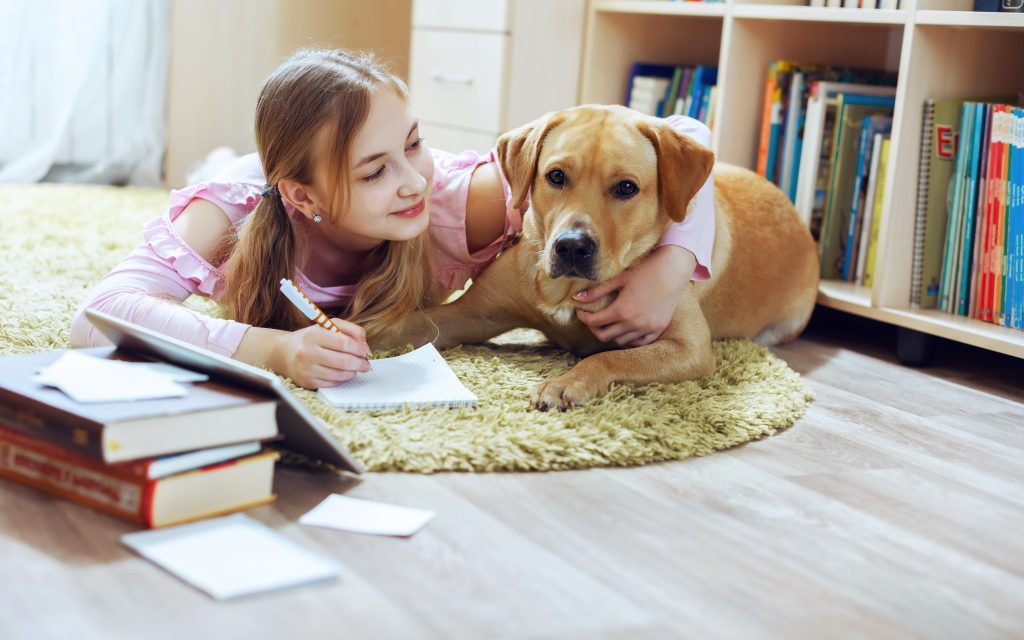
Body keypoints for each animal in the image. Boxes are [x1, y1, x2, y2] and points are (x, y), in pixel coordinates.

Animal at [372, 102, 819, 407]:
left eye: (626, 187)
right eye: (555, 176)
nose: (572, 245)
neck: (567, 289)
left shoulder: (688, 347)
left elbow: (614, 359)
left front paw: (567, 381)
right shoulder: (471, 313)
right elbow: (405, 325)